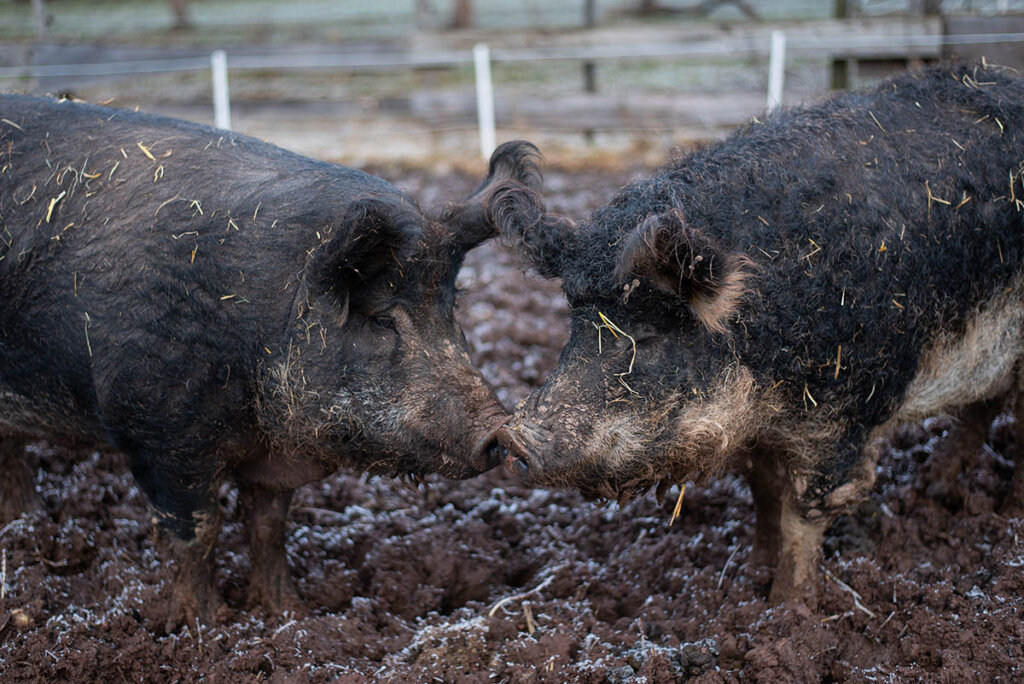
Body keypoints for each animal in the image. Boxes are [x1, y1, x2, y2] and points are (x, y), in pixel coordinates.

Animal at [0, 97, 520, 626]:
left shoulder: (271, 462)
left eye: (450, 309)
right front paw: (206, 625)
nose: (497, 430)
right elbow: (197, 535)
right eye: (382, 319)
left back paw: (25, 522)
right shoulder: (155, 434)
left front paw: (290, 612)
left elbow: (268, 530)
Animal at [495, 65, 1024, 602]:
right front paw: (753, 577)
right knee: (986, 403)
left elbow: (805, 513)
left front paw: (788, 609)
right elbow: (764, 494)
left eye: (645, 337)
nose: (513, 439)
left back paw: (1005, 512)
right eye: (575, 329)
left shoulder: (845, 409)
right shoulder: (754, 429)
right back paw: (933, 488)